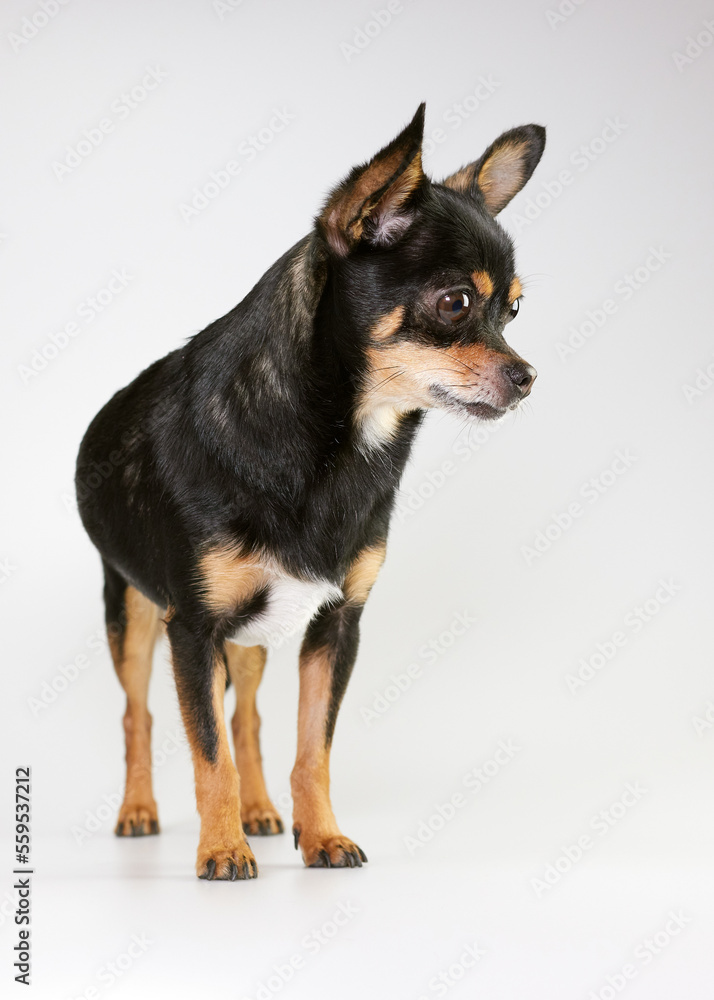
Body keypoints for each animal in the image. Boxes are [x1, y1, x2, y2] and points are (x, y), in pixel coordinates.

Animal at [76, 105, 544, 880]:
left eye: (513, 309)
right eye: (456, 303)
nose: (528, 377)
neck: (341, 447)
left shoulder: (335, 627)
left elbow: (310, 748)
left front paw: (320, 835)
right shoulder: (191, 629)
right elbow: (208, 755)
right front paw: (221, 849)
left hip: (249, 642)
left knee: (247, 716)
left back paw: (262, 812)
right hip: (136, 620)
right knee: (138, 714)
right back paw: (139, 811)